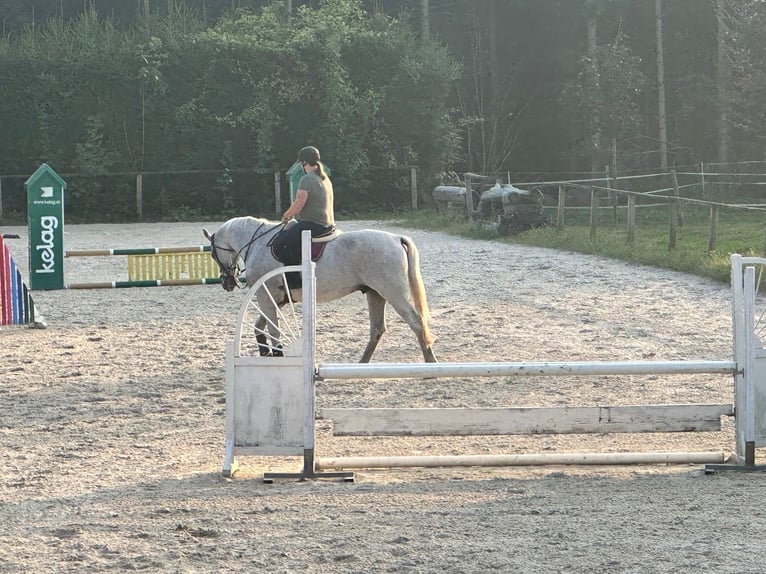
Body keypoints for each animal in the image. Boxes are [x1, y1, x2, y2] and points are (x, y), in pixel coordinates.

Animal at [204, 217, 438, 364]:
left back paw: (430, 364)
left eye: (213, 254)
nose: (228, 282)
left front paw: (276, 355)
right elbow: (259, 327)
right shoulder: (275, 299)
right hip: (375, 293)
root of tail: (395, 238)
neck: (257, 243)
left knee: (416, 323)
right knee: (377, 329)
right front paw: (265, 353)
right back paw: (362, 364)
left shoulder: (265, 296)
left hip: (393, 293)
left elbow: (272, 329)